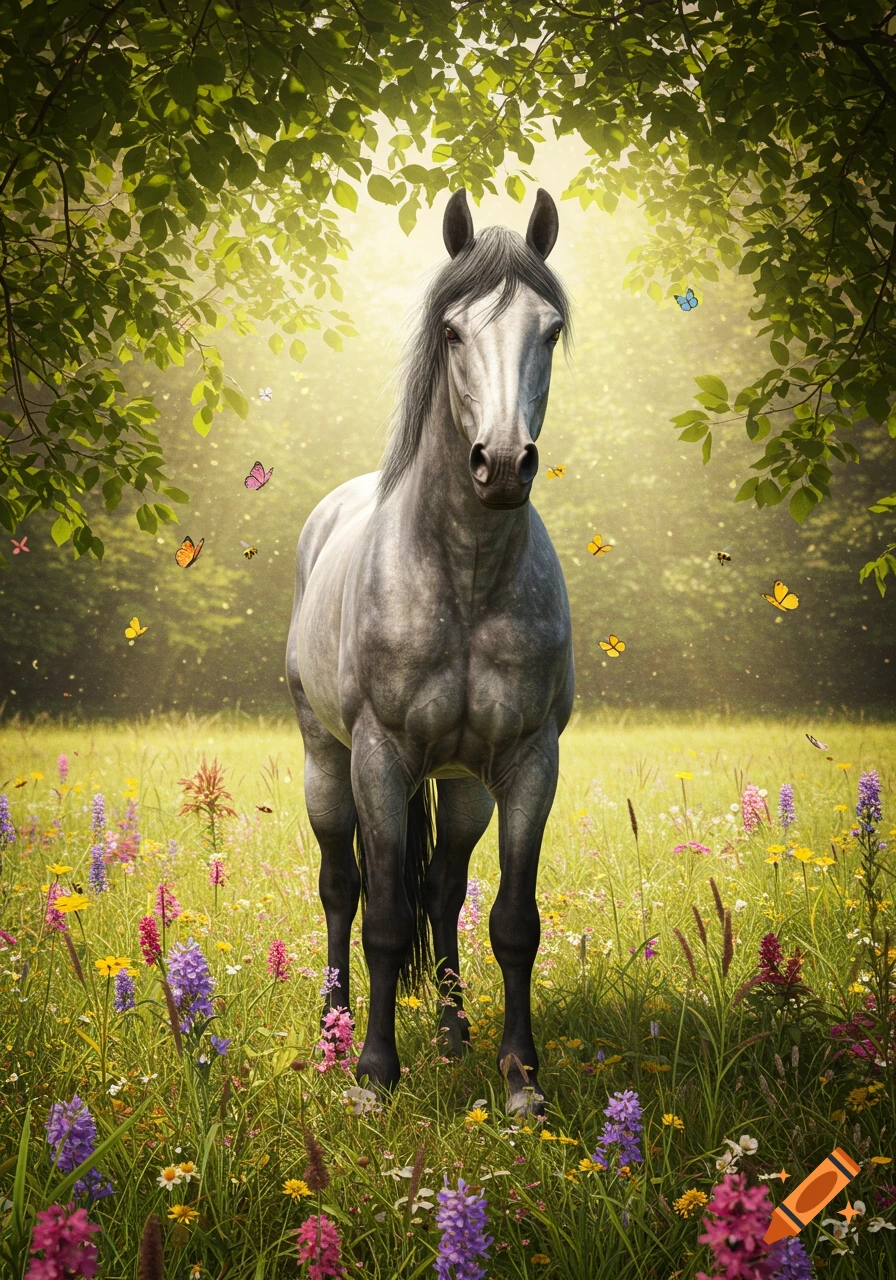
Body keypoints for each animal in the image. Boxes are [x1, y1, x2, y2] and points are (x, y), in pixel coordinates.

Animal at [286, 187, 574, 1114]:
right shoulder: (378, 758)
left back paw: (451, 1035)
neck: (465, 575)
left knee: (445, 893)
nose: (504, 464)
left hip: (462, 786)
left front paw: (520, 1080)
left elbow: (512, 922)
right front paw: (375, 1075)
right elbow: (381, 918)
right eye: (452, 332)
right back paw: (335, 1033)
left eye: (549, 330)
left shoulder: (528, 763)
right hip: (325, 763)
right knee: (341, 890)